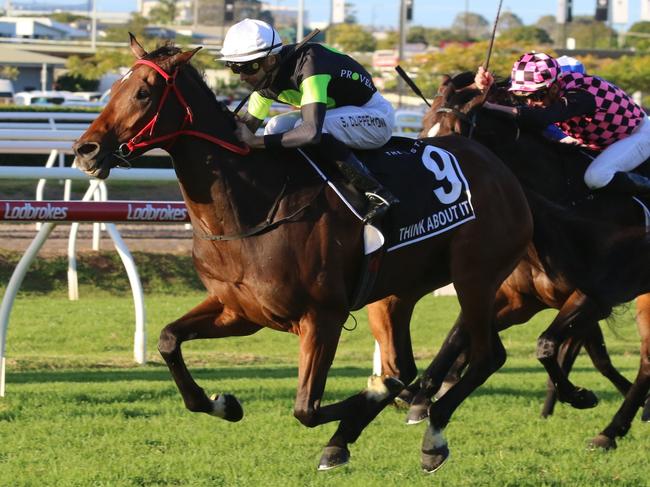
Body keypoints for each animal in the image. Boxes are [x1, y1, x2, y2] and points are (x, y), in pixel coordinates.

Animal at [71, 39, 532, 472]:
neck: (251, 207)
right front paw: (223, 403)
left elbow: (306, 409)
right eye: (116, 87)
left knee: (486, 355)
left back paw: (430, 436)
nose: (85, 150)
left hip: (475, 277)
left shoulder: (321, 316)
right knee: (405, 365)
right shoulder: (239, 310)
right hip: (396, 292)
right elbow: (169, 340)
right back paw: (351, 436)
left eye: (143, 92)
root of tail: (499, 168)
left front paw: (373, 395)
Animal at [410, 72, 648, 454]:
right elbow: (459, 334)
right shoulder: (520, 299)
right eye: (422, 128)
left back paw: (612, 427)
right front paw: (421, 395)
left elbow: (551, 346)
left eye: (456, 134)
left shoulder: (595, 297)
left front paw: (579, 396)